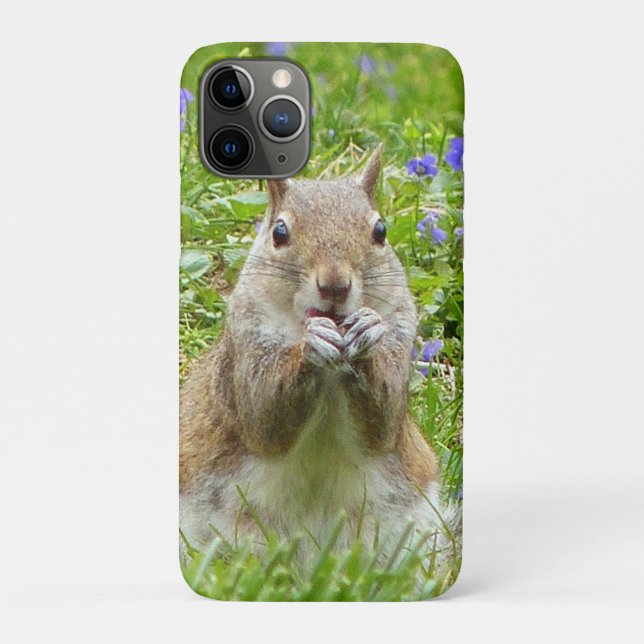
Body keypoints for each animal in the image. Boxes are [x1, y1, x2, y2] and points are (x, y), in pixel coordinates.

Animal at [180, 146, 452, 556]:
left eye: (380, 231)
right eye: (279, 232)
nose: (335, 285)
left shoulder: (401, 334)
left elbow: (384, 422)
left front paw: (366, 330)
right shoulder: (244, 347)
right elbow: (263, 416)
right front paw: (311, 345)